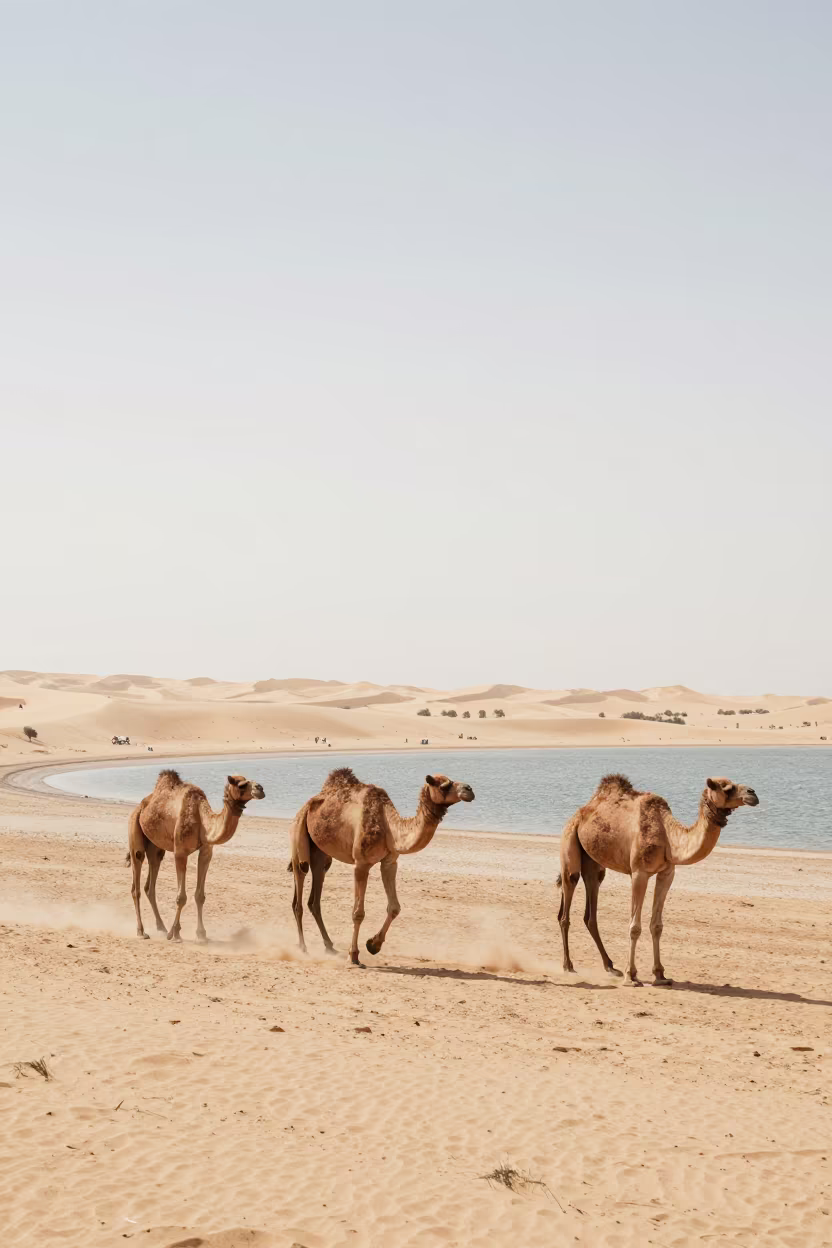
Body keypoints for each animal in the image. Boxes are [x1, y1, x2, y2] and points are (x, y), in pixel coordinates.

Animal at [127, 768, 265, 941]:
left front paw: (201, 934)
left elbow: (200, 896)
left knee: (150, 884)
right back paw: (141, 931)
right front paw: (175, 933)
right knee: (136, 882)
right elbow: (181, 897)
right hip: (134, 829)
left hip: (155, 846)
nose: (260, 788)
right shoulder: (180, 852)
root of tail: (141, 806)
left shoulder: (206, 851)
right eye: (241, 784)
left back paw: (162, 928)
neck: (202, 820)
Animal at [288, 767, 475, 965]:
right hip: (298, 838)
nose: (469, 789)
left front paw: (373, 945)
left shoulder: (389, 862)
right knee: (299, 889)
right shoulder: (361, 864)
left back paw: (329, 946)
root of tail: (305, 807)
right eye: (444, 785)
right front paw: (353, 955)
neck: (388, 827)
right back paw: (303, 948)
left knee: (315, 898)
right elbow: (358, 913)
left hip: (320, 853)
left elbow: (394, 907)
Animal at [557, 774, 759, 986]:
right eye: (727, 788)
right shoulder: (639, 872)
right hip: (569, 842)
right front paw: (631, 976)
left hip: (593, 863)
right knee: (567, 901)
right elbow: (634, 927)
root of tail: (580, 812)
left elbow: (657, 926)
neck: (668, 837)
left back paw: (610, 966)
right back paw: (568, 966)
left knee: (591, 909)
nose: (753, 794)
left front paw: (660, 975)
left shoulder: (667, 873)